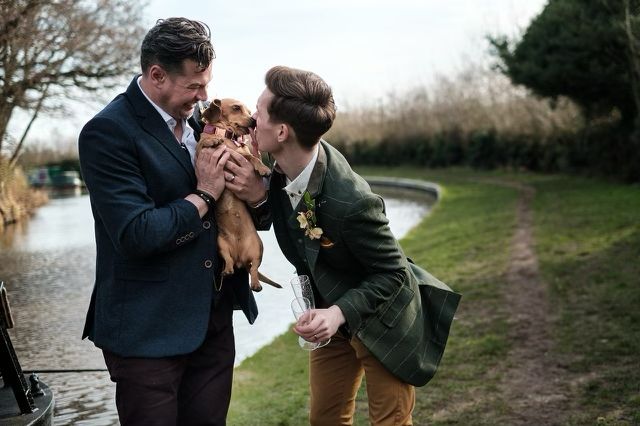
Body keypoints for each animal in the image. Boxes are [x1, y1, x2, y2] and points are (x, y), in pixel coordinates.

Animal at [196, 98, 280, 292]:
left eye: (249, 110)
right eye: (236, 108)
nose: (254, 121)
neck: (226, 135)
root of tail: (240, 259)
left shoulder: (241, 155)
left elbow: (252, 158)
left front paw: (263, 168)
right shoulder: (198, 156)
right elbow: (203, 143)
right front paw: (212, 140)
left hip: (257, 248)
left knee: (254, 268)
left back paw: (256, 284)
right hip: (221, 244)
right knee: (229, 261)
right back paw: (227, 270)